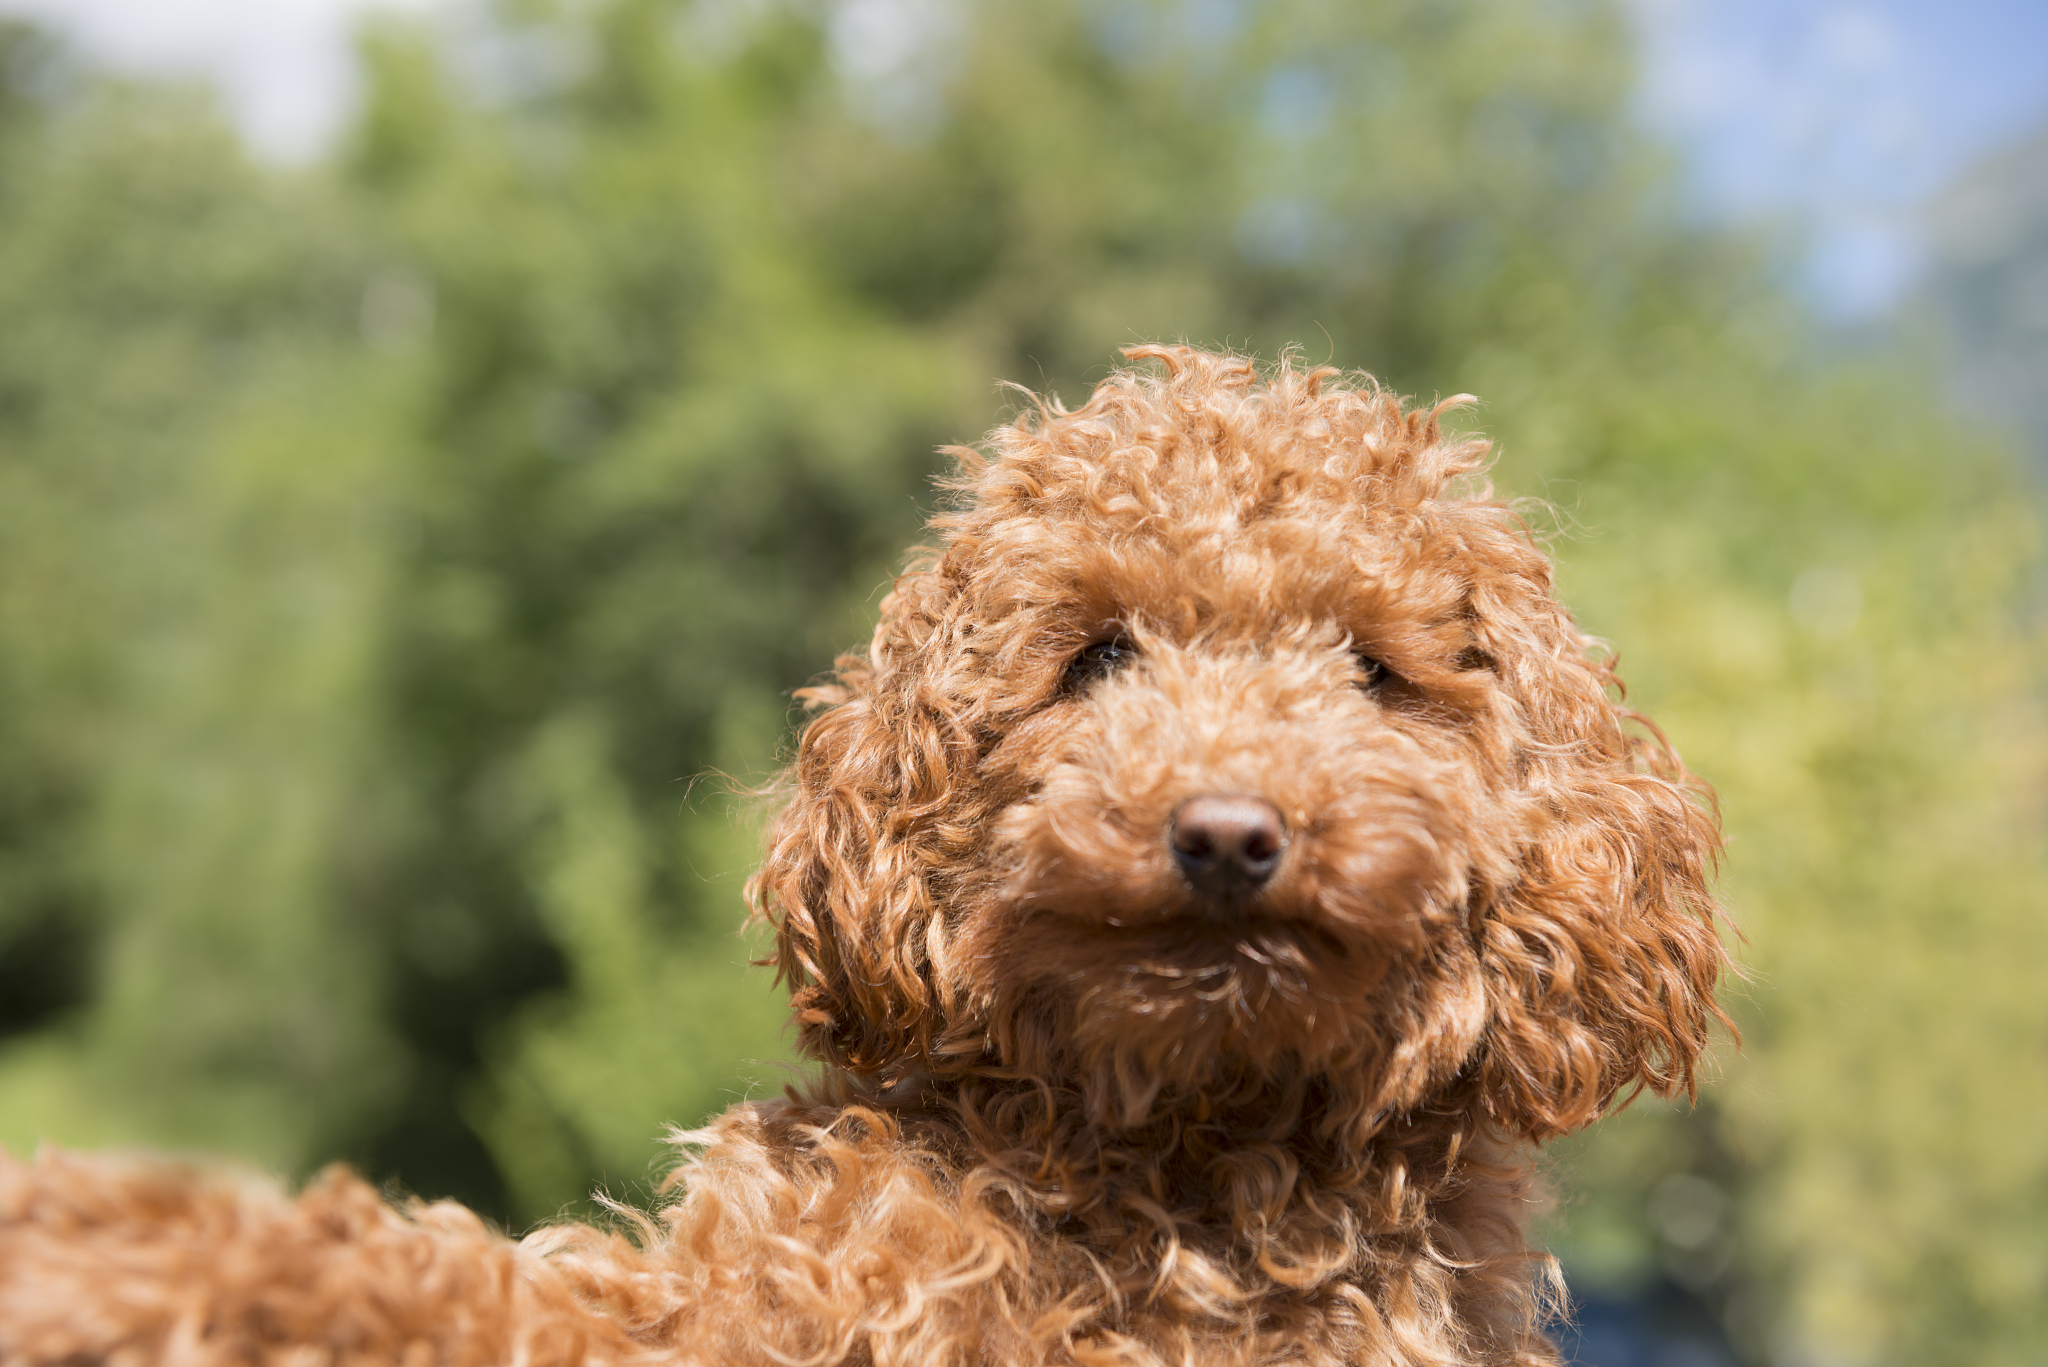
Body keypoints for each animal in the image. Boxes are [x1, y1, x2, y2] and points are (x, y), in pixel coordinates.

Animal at [0, 350, 1728, 1367]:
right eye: (1096, 655)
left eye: (1374, 672)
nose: (1230, 830)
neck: (1181, 1151)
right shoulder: (749, 1300)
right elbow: (472, 1287)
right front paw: (129, 1241)